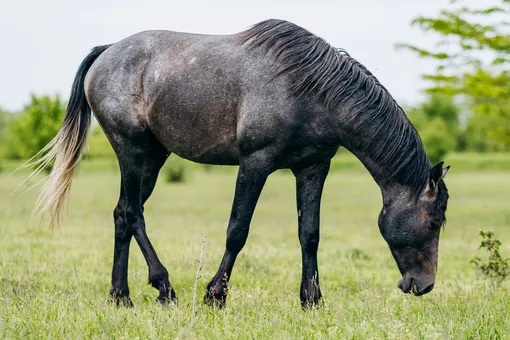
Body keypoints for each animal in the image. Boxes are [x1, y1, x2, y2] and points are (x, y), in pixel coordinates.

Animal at [26, 19, 450, 310]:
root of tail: (108, 50)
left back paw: (120, 296)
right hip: (131, 150)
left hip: (153, 157)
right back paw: (164, 286)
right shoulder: (255, 163)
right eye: (433, 222)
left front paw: (312, 299)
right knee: (133, 214)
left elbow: (309, 233)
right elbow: (237, 230)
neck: (310, 90)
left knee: (121, 215)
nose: (424, 284)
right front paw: (216, 295)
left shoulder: (313, 168)